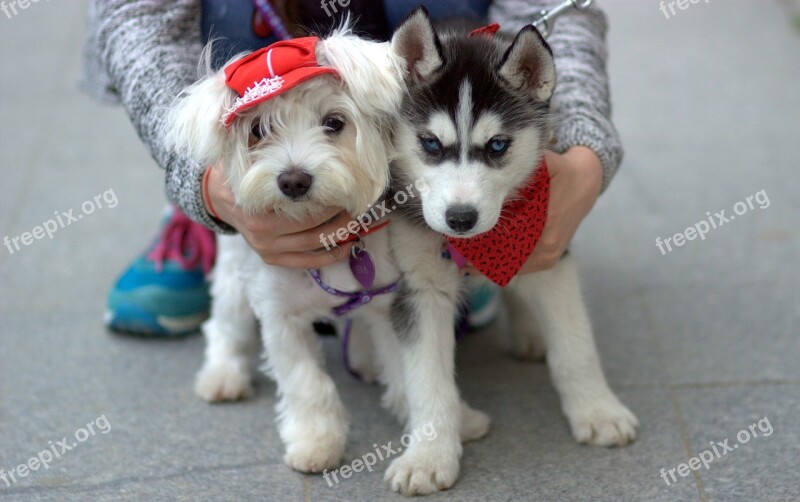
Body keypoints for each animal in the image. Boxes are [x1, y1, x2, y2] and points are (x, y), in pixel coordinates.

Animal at [384, 5, 640, 494]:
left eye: (498, 145)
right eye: (430, 144)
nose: (460, 218)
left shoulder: (549, 249)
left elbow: (575, 347)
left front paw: (598, 410)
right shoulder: (419, 286)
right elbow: (427, 380)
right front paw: (428, 455)